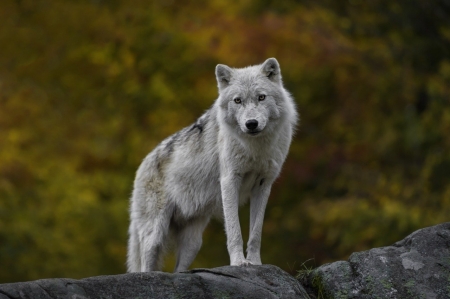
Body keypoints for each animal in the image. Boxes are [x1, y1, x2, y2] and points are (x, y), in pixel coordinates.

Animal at [126, 57, 298, 274]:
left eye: (261, 97)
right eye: (237, 100)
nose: (251, 123)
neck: (255, 148)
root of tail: (144, 163)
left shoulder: (263, 185)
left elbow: (255, 233)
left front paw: (256, 263)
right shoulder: (229, 181)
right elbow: (234, 230)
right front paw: (239, 263)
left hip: (193, 244)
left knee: (179, 270)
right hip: (155, 234)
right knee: (146, 265)